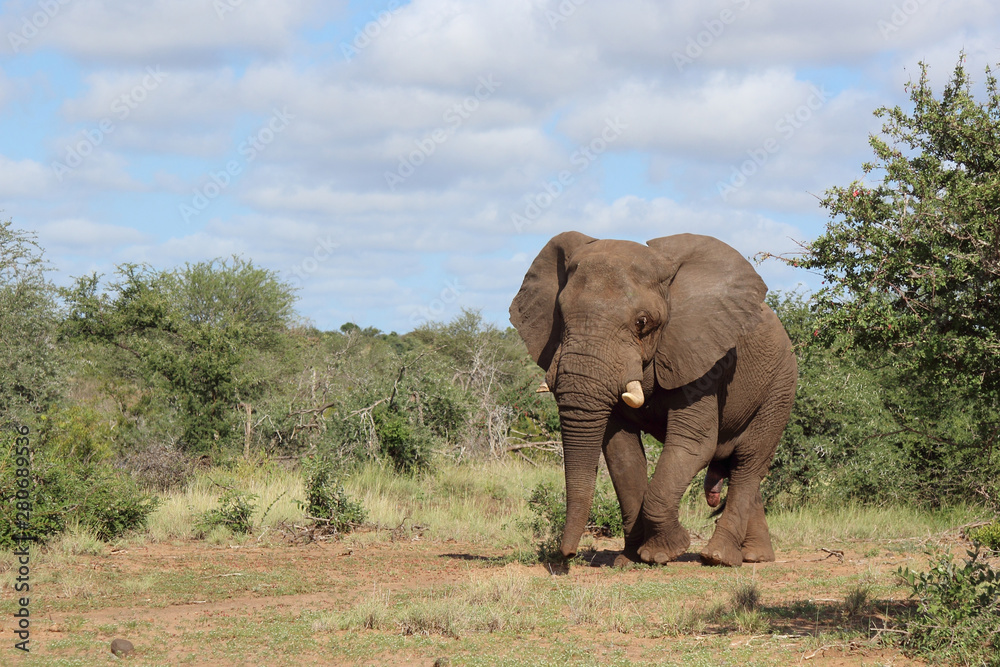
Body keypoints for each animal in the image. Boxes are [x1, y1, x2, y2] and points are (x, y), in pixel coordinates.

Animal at [509, 232, 797, 567]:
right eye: (561, 316)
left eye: (642, 322)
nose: (566, 555)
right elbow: (621, 452)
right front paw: (631, 560)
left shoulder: (702, 357)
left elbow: (694, 442)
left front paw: (664, 552)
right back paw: (754, 556)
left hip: (780, 386)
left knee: (748, 462)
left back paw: (719, 557)